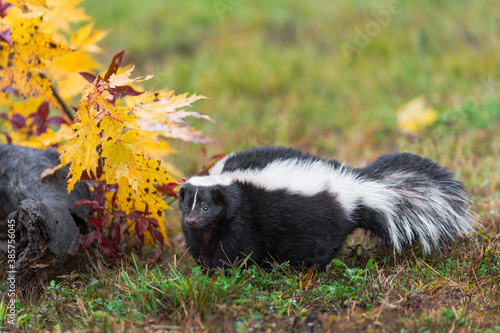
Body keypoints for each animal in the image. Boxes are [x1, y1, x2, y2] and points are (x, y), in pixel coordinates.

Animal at [178, 146, 474, 270]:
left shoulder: (244, 217)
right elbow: (200, 248)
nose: (192, 220)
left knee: (318, 252)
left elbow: (237, 248)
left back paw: (303, 270)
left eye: (206, 208)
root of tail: (357, 187)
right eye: (187, 207)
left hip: (318, 224)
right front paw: (205, 269)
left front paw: (223, 270)